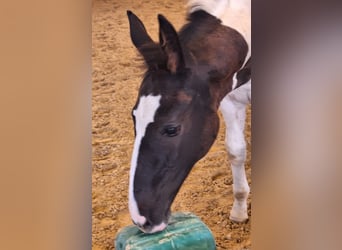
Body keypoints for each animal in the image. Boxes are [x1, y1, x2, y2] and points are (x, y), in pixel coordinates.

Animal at [127, 0, 250, 234]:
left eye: (172, 129)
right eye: (134, 117)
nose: (141, 219)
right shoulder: (230, 101)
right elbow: (236, 151)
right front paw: (239, 210)